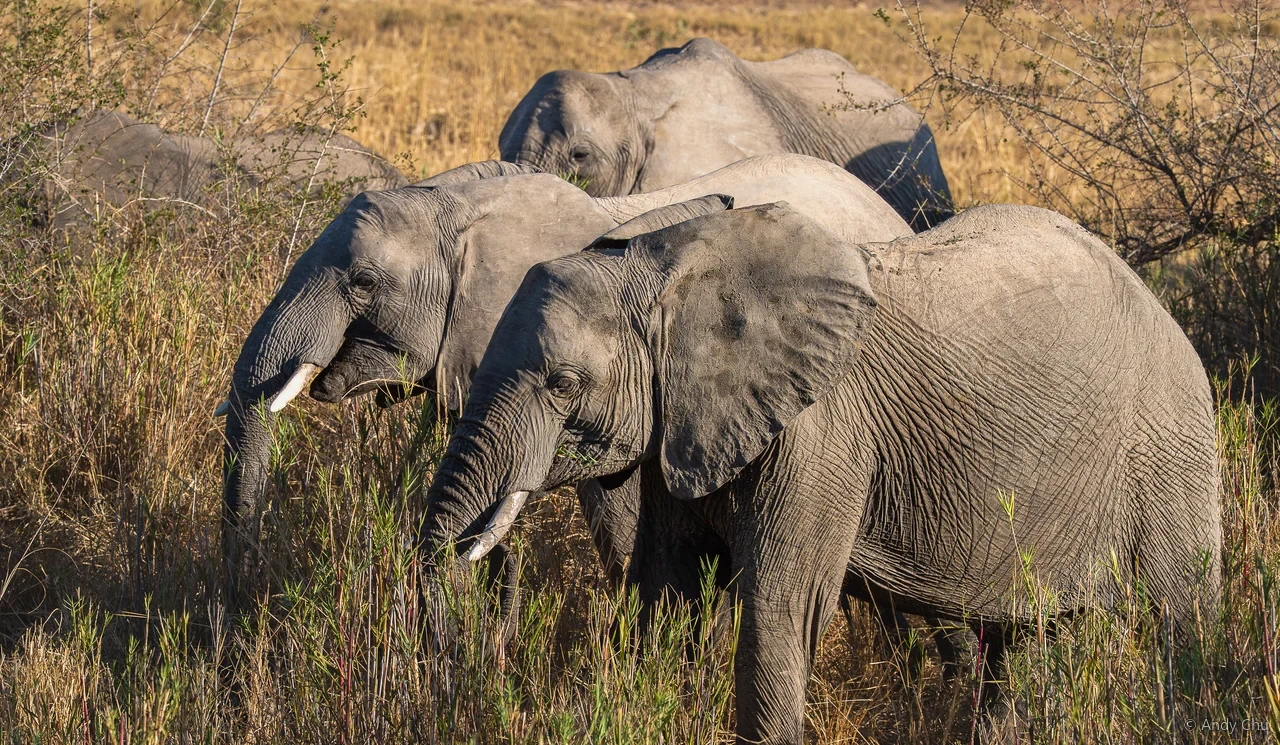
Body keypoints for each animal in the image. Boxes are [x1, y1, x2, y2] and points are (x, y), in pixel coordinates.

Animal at [417, 201, 1222, 743]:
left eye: (562, 383)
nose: (492, 558)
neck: (665, 265)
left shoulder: (822, 432)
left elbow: (781, 606)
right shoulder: (683, 423)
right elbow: (669, 593)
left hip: (1169, 447)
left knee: (1179, 624)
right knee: (1020, 645)